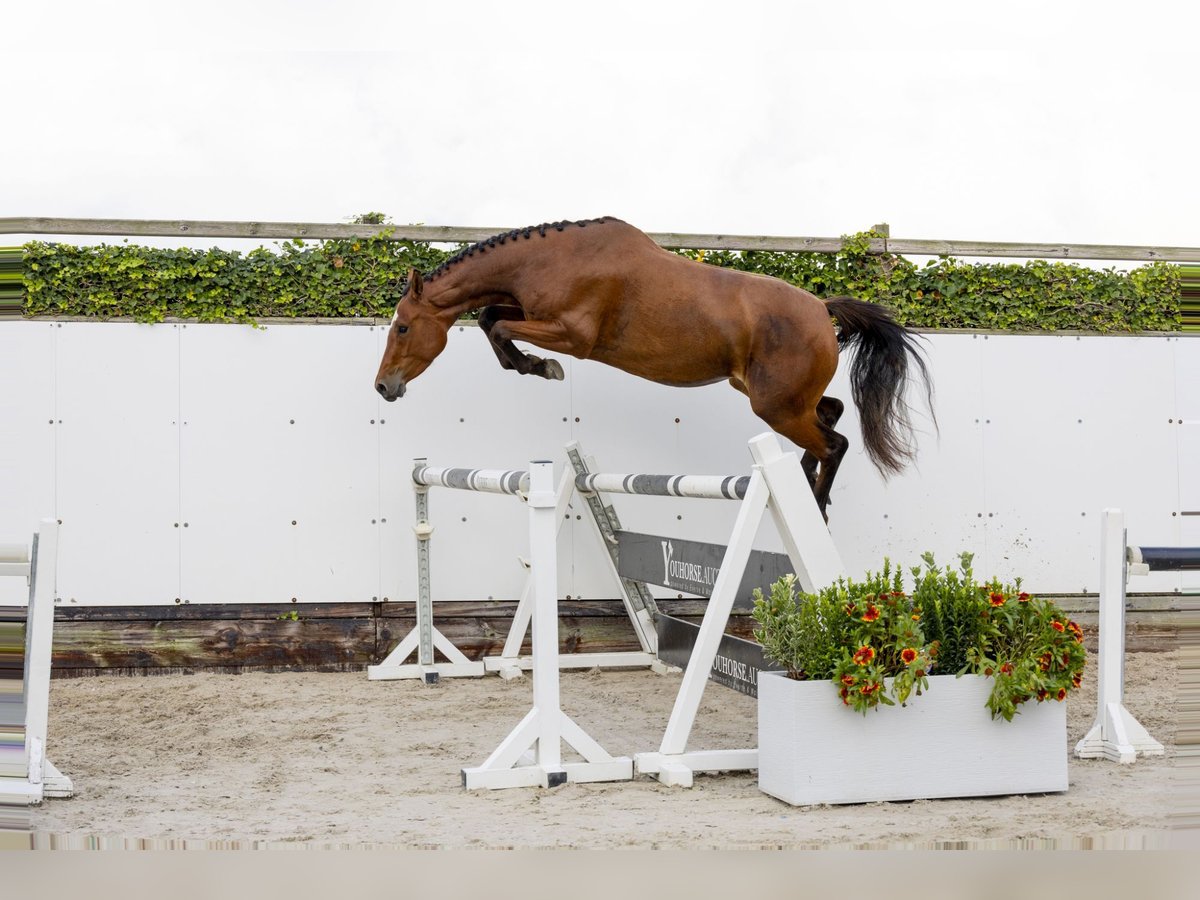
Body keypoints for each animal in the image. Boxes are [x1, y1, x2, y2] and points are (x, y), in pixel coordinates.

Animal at [369, 214, 931, 518]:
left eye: (402, 328)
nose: (383, 387)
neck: (549, 260)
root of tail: (821, 309)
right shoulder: (532, 314)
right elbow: (490, 318)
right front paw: (531, 365)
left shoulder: (573, 334)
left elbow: (501, 329)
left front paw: (542, 367)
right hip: (777, 397)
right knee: (830, 414)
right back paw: (808, 487)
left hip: (775, 407)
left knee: (834, 443)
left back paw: (814, 506)